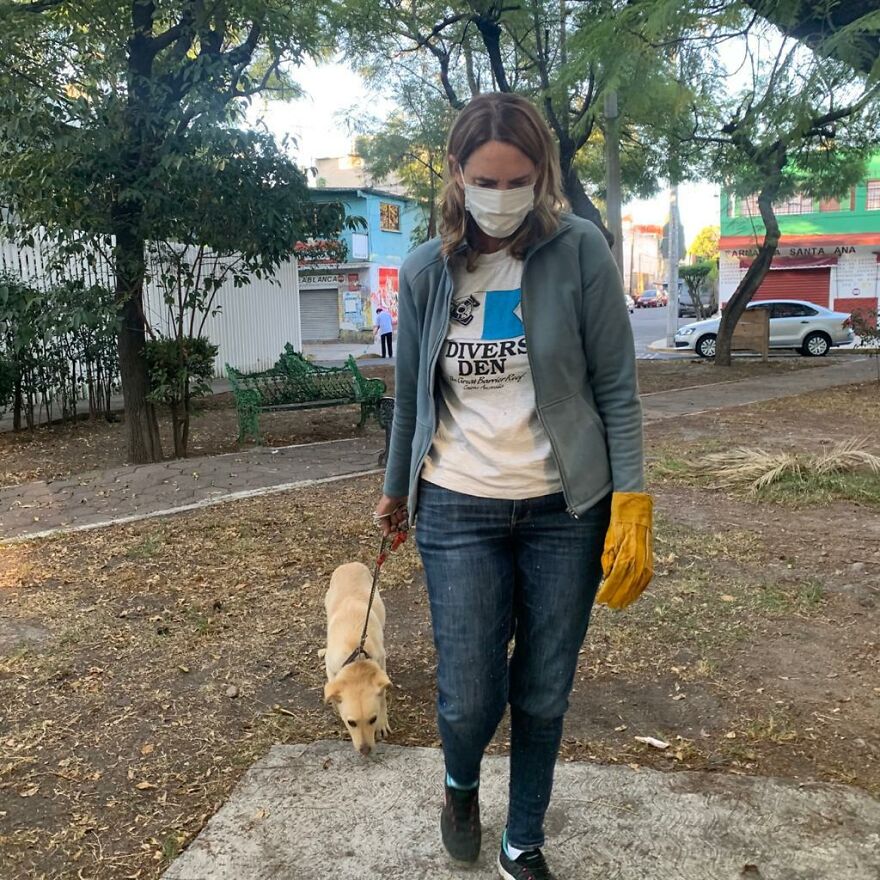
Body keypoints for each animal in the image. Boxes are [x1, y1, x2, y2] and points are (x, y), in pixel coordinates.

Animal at [324, 564, 392, 756]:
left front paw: (383, 722)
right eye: (351, 723)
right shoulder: (330, 666)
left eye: (373, 719)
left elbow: (382, 697)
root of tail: (350, 564)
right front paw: (334, 702)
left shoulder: (381, 661)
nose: (365, 750)